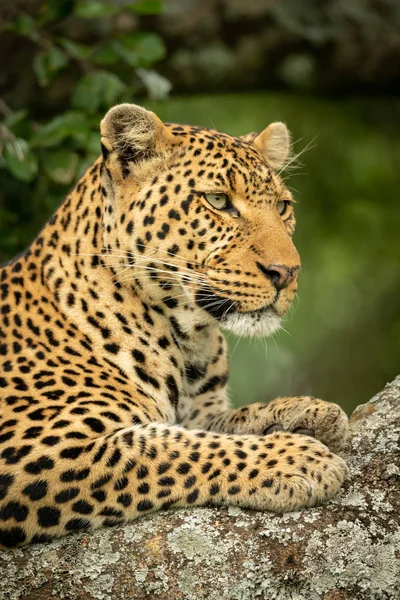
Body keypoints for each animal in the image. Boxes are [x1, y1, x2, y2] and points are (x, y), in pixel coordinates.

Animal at [0, 104, 346, 548]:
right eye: (218, 200)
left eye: (283, 207)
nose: (286, 273)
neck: (187, 339)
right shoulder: (36, 450)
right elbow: (172, 447)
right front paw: (295, 459)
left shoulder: (199, 410)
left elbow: (219, 425)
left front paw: (308, 411)